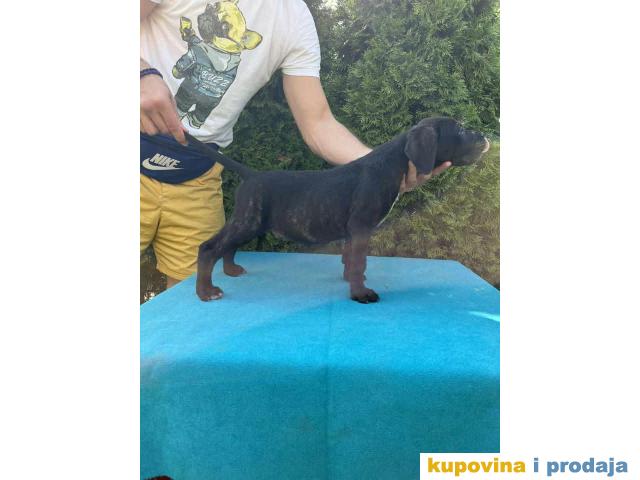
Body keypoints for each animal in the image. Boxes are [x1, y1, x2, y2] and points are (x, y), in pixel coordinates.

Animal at [185, 117, 490, 303]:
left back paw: (232, 270)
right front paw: (361, 293)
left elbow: (350, 259)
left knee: (228, 246)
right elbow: (358, 261)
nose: (485, 136)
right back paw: (205, 292)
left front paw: (352, 282)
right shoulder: (361, 226)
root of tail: (252, 175)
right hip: (247, 220)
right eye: (460, 130)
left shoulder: (352, 231)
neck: (392, 163)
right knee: (210, 248)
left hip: (248, 223)